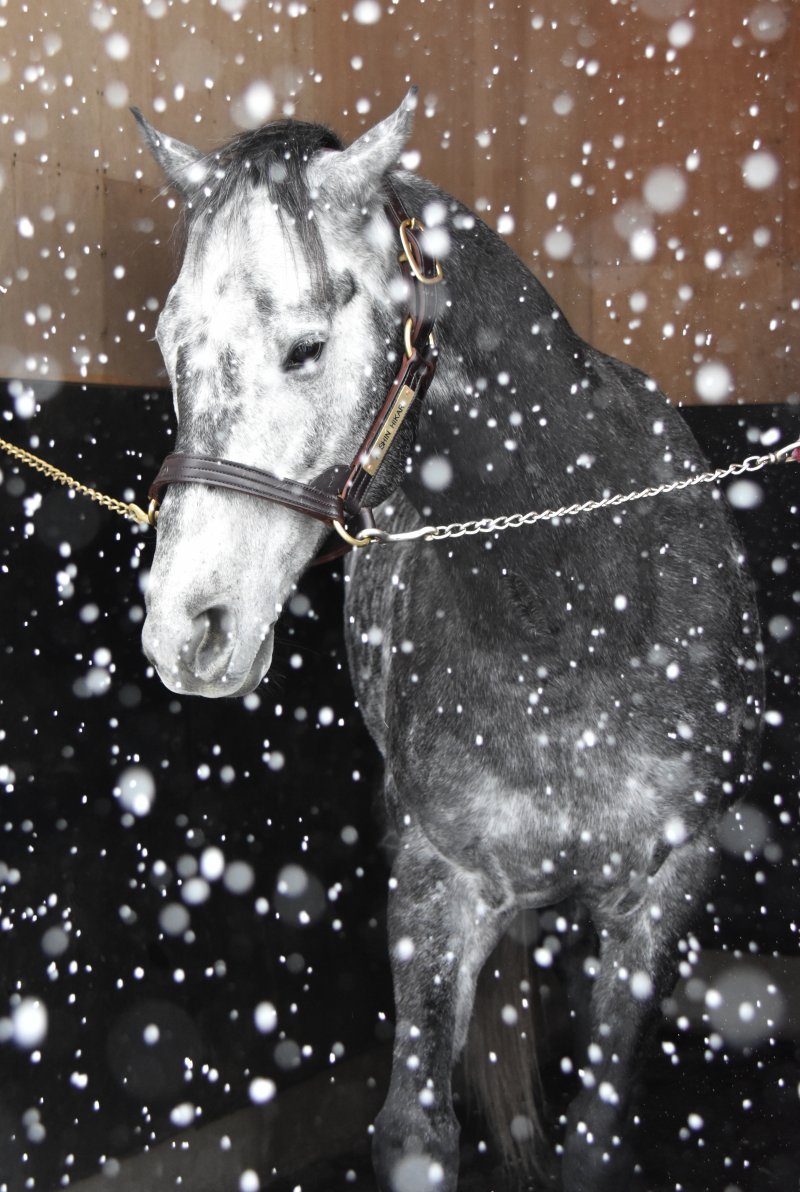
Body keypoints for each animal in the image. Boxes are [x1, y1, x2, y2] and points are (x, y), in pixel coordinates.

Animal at [135, 92, 762, 1191]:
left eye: (303, 347)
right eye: (170, 340)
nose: (185, 626)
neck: (576, 617)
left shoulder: (663, 890)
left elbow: (600, 1130)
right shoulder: (437, 883)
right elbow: (417, 1129)